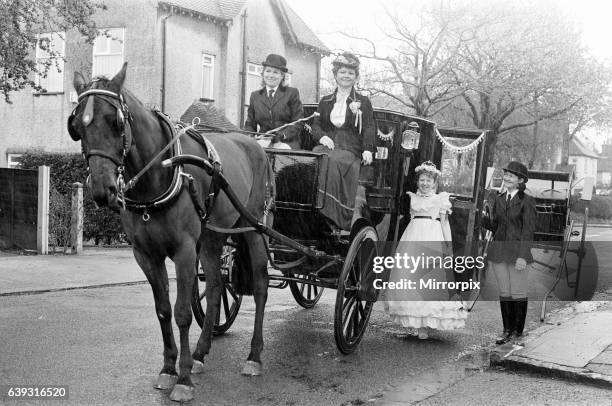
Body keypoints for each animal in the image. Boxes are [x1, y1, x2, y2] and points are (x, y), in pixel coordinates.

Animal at [67, 63, 272, 402]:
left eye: (115, 121)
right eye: (77, 127)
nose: (101, 190)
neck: (161, 173)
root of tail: (255, 144)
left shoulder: (184, 251)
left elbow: (182, 313)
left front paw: (184, 379)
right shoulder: (146, 254)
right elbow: (163, 310)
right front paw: (168, 369)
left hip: (253, 229)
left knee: (260, 286)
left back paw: (254, 356)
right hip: (212, 238)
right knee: (215, 288)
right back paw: (201, 353)